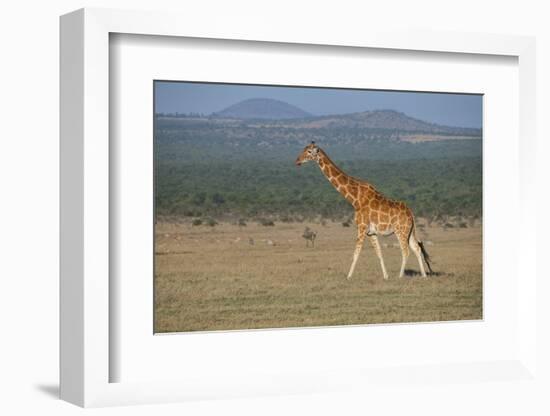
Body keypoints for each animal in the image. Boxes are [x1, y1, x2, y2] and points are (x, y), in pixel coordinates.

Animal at [296, 141, 434, 282]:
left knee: (406, 251)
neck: (355, 199)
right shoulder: (371, 233)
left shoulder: (361, 228)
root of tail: (411, 214)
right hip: (409, 231)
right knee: (417, 248)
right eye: (304, 149)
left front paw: (348, 276)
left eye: (309, 152)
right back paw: (424, 275)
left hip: (400, 231)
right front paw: (385, 276)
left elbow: (356, 253)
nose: (297, 161)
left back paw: (400, 276)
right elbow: (379, 253)